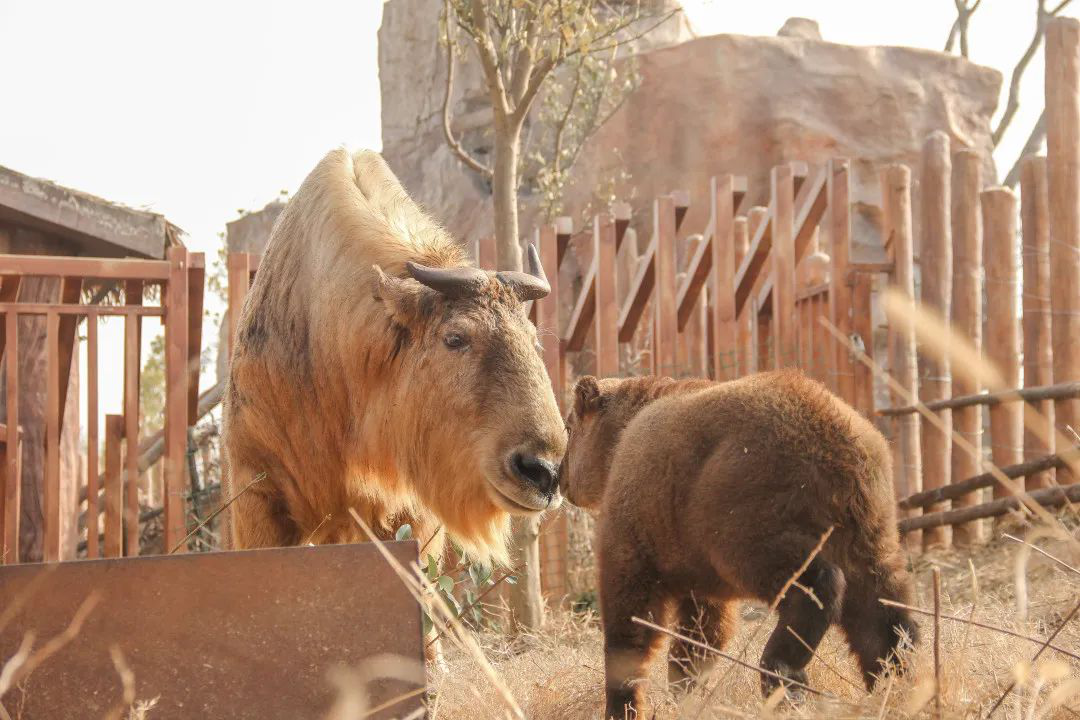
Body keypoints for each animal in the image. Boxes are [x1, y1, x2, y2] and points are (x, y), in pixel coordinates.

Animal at [557, 369, 920, 716]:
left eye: (569, 427)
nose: (559, 476)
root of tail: (841, 441)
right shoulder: (691, 559)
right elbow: (702, 633)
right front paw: (686, 689)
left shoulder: (638, 524)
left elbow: (630, 615)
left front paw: (624, 702)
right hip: (868, 525)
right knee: (881, 606)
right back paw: (897, 677)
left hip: (749, 506)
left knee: (811, 582)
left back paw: (784, 672)